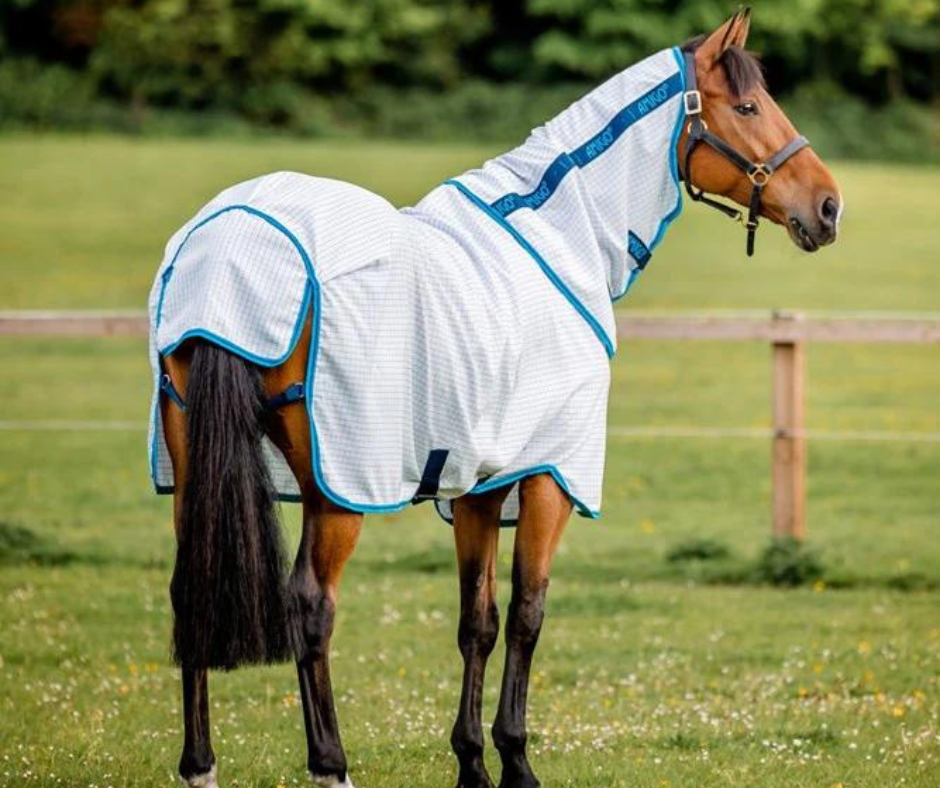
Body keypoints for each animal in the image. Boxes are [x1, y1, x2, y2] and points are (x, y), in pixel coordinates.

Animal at [150, 9, 841, 788]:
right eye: (748, 107)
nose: (828, 205)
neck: (557, 238)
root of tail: (226, 246)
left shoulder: (480, 486)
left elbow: (475, 622)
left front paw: (472, 764)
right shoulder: (550, 479)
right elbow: (527, 613)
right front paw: (517, 760)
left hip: (194, 470)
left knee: (192, 589)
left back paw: (200, 766)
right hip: (340, 489)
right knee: (311, 605)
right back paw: (332, 765)